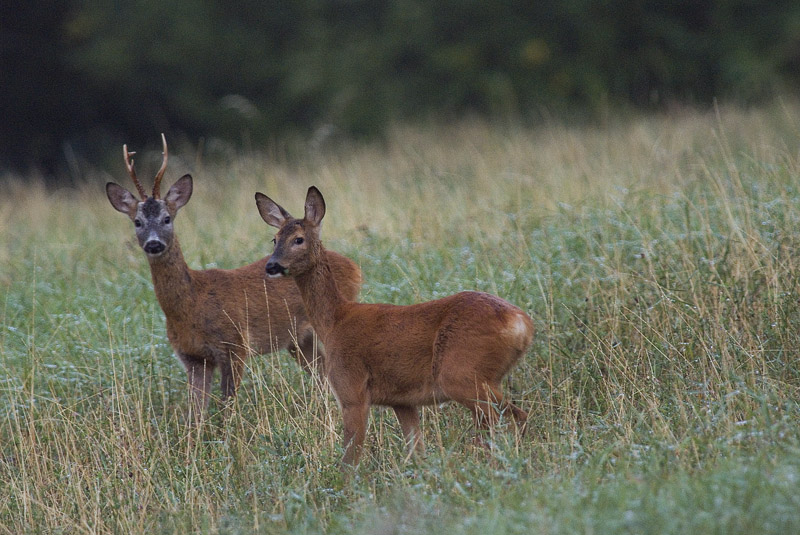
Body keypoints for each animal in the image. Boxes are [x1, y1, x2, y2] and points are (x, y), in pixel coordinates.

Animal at [104, 136, 360, 420]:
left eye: (167, 218)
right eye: (137, 222)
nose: (153, 244)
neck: (192, 305)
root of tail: (353, 266)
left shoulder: (235, 344)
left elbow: (227, 406)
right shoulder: (193, 358)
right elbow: (195, 414)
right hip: (299, 339)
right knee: (320, 371)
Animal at [253, 186, 536, 466]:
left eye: (298, 239)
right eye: (274, 239)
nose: (272, 265)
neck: (334, 321)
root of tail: (521, 323)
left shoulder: (352, 390)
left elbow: (350, 460)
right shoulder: (402, 401)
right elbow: (417, 451)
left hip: (462, 374)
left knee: (505, 419)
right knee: (511, 418)